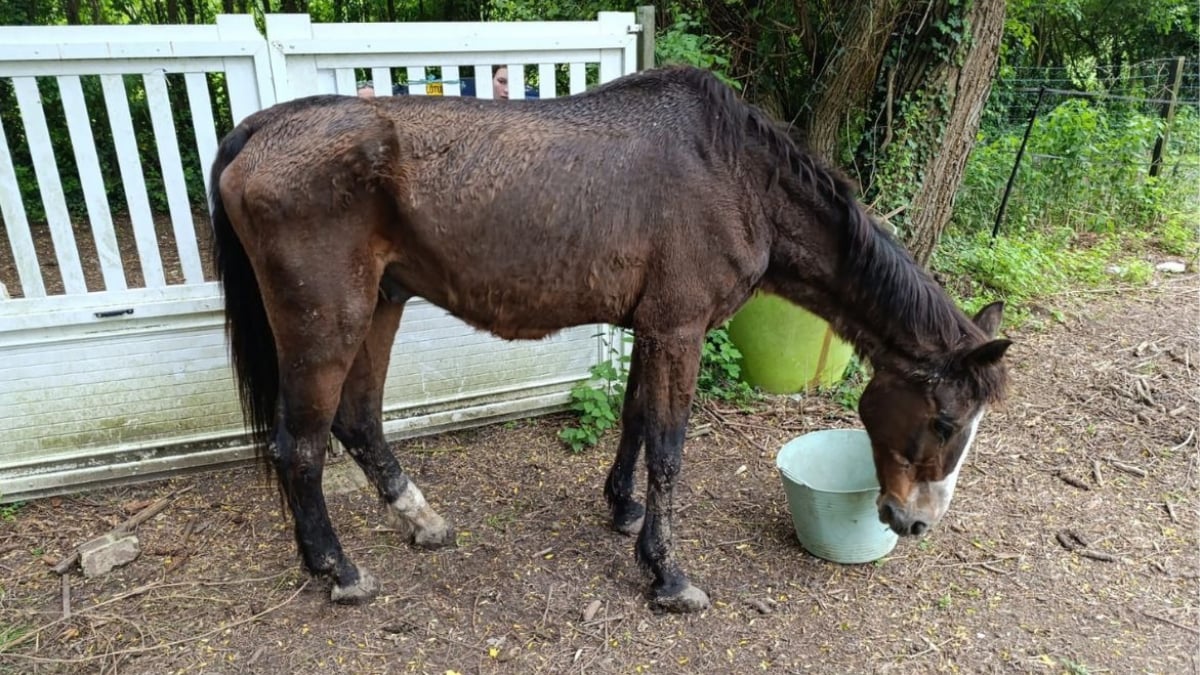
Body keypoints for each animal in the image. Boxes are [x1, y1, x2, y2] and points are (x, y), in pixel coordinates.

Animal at [207, 64, 1012, 614]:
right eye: (946, 420)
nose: (915, 521)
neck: (735, 174)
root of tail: (263, 128)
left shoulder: (650, 329)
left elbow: (634, 421)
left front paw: (622, 511)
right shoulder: (679, 331)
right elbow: (670, 446)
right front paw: (668, 574)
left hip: (381, 304)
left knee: (358, 421)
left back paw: (421, 521)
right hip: (328, 325)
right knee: (300, 446)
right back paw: (338, 571)